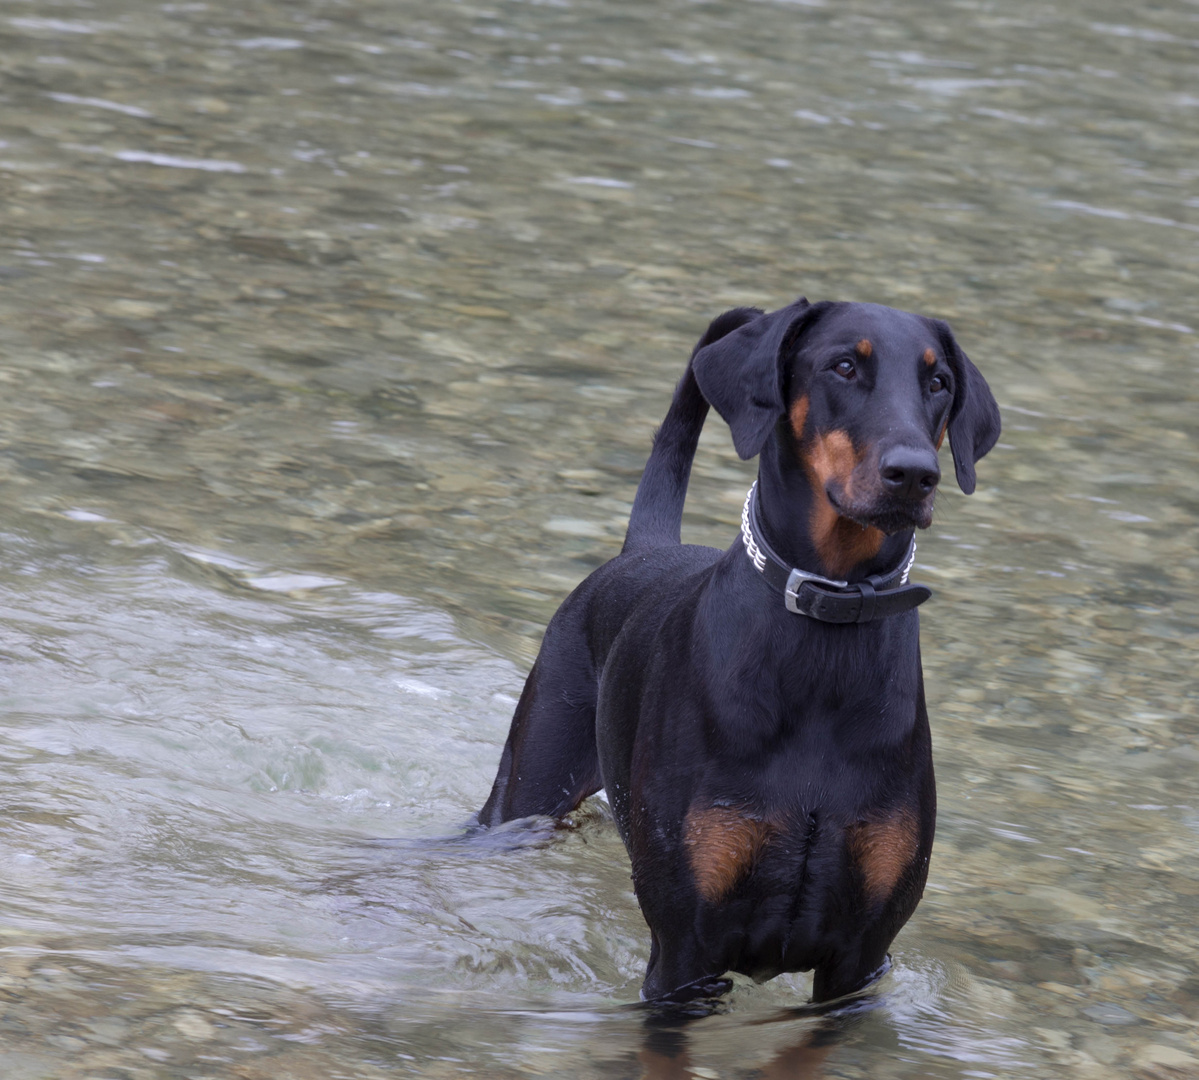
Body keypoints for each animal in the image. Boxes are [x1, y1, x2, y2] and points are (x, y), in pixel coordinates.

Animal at [477, 294, 1002, 1002]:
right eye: (843, 366)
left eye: (939, 381)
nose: (915, 474)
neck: (826, 626)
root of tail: (645, 547)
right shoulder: (684, 952)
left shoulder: (863, 957)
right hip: (526, 789)